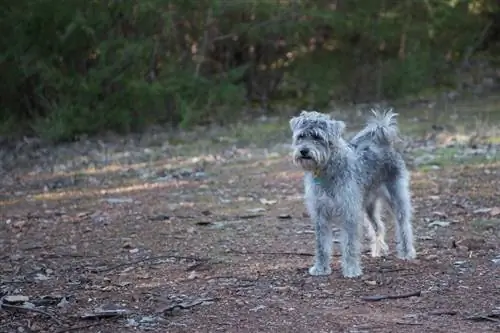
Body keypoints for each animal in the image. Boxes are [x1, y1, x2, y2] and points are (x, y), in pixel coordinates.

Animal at [290, 109, 414, 278]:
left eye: (317, 137)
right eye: (301, 136)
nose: (304, 151)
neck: (327, 170)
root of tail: (383, 142)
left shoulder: (349, 214)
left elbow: (350, 244)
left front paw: (351, 269)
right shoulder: (320, 214)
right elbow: (321, 245)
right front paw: (321, 268)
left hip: (397, 198)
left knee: (404, 226)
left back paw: (407, 252)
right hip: (369, 206)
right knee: (378, 226)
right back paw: (378, 250)